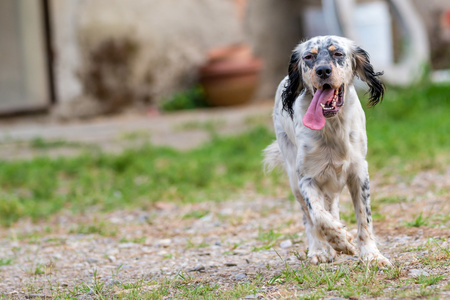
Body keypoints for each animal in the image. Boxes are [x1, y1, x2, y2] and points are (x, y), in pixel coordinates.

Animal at [264, 35, 390, 268]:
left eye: (338, 53)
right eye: (308, 57)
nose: (323, 70)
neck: (332, 127)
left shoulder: (359, 172)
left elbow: (364, 218)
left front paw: (371, 255)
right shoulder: (306, 178)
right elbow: (318, 216)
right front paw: (342, 241)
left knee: (332, 207)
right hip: (293, 178)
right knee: (309, 218)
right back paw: (319, 250)